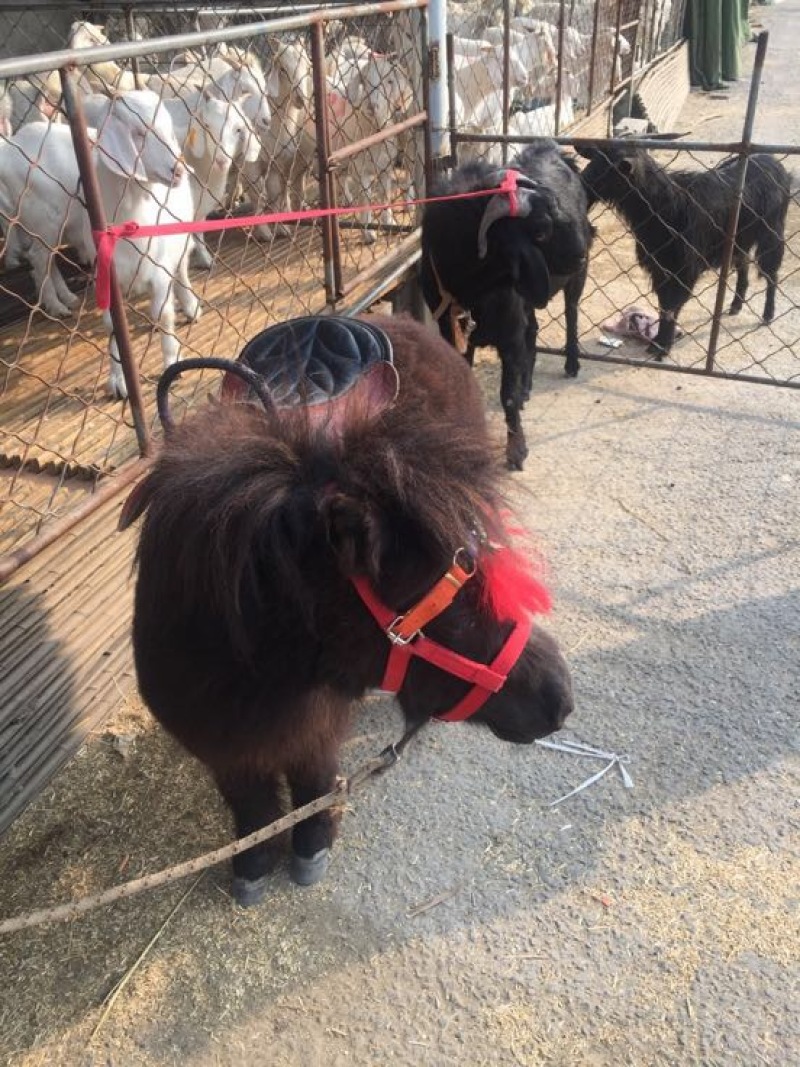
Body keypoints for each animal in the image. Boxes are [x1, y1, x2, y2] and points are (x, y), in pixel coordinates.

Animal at [121, 313, 574, 905]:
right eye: (450, 606)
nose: (560, 698)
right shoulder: (220, 745)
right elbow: (251, 805)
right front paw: (253, 862)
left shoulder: (314, 729)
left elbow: (311, 783)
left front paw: (312, 842)